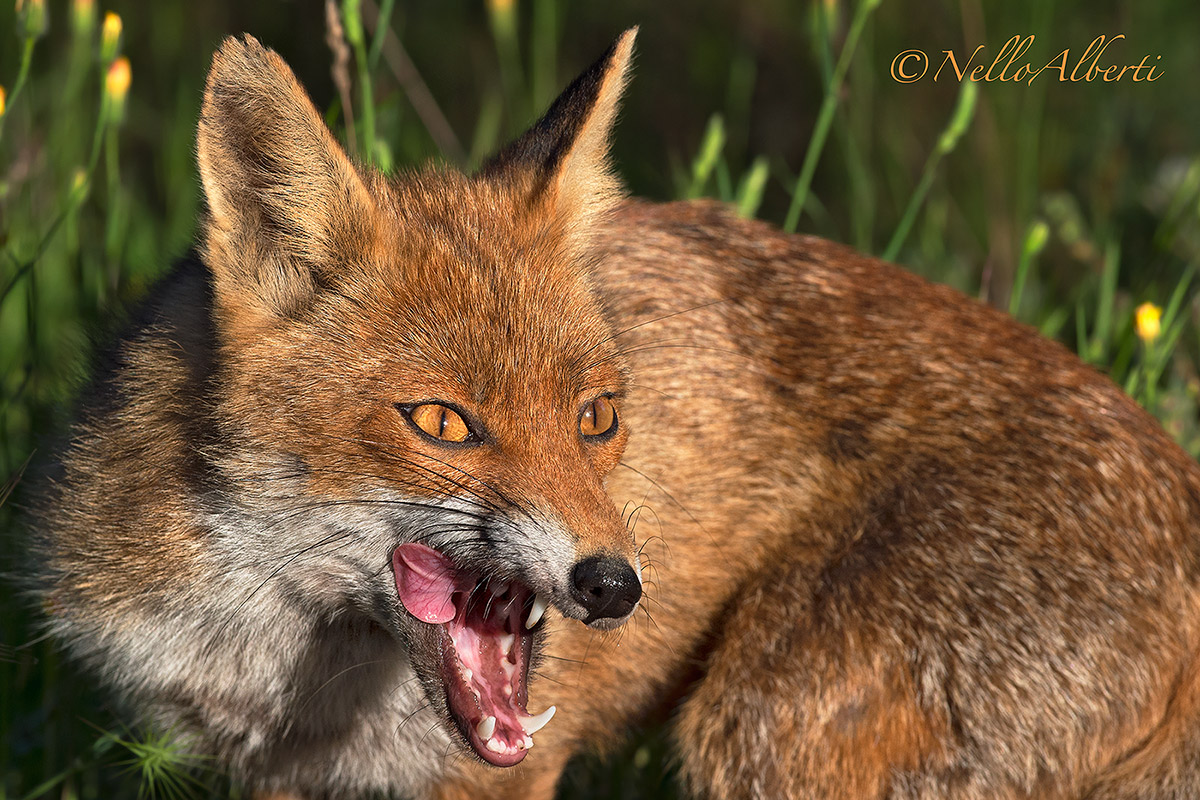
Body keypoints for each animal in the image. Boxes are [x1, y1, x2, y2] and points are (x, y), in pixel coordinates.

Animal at [27, 25, 1200, 800]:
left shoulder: (501, 769)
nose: (615, 586)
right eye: (442, 423)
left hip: (765, 731)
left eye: (597, 417)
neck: (275, 654)